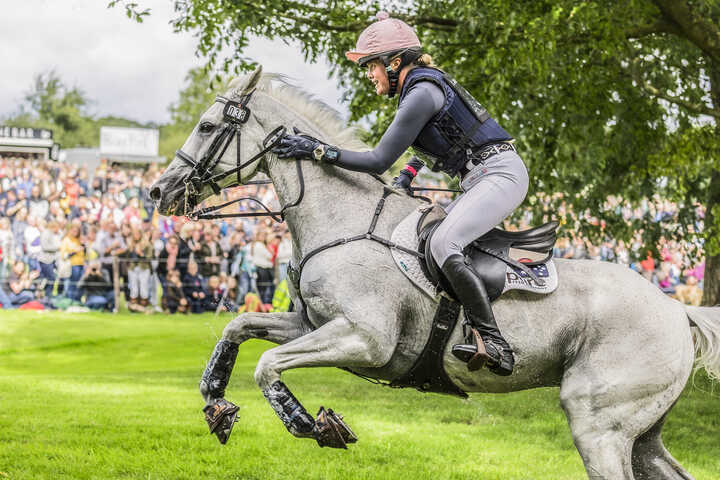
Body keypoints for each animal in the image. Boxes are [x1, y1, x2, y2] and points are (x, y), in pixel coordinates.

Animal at [152, 66, 720, 480]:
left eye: (207, 127)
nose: (159, 190)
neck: (344, 220)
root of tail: (679, 309)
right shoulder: (313, 325)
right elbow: (238, 328)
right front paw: (216, 401)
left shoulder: (365, 339)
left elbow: (268, 366)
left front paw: (313, 425)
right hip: (640, 433)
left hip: (600, 425)